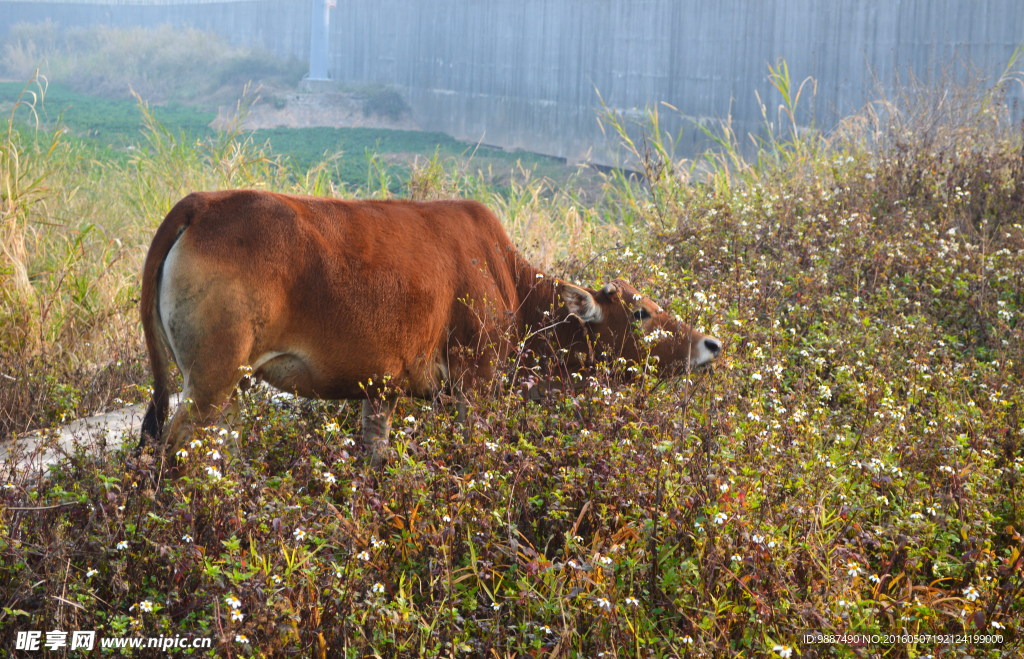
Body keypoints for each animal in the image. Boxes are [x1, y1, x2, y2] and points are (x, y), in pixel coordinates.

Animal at [140, 190, 724, 468]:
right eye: (641, 311)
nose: (709, 344)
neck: (511, 282)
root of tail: (203, 203)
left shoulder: (381, 392)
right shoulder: (474, 384)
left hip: (228, 386)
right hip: (211, 382)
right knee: (173, 449)